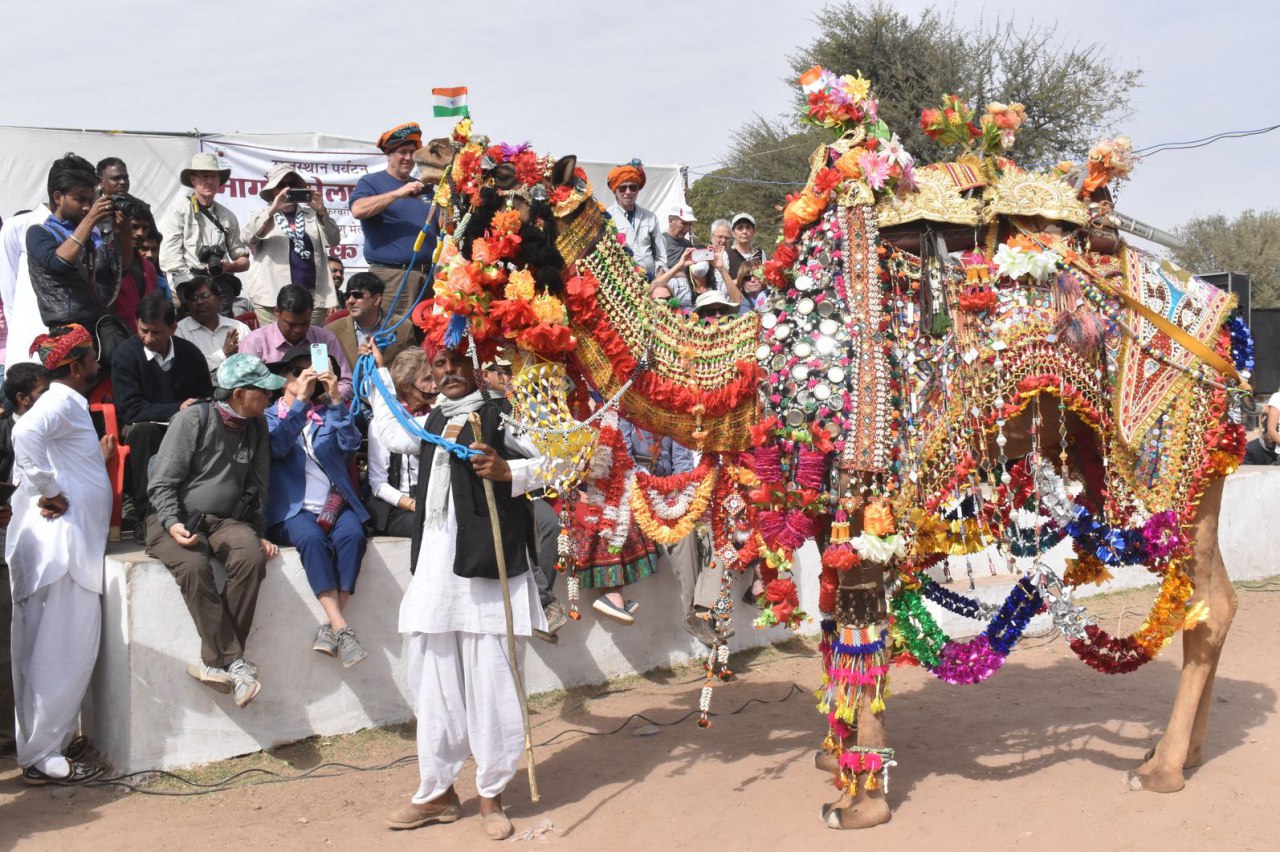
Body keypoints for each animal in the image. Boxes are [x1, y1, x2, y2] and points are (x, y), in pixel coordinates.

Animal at [384, 72, 1254, 828]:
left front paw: (858, 800)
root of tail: (1224, 318)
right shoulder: (830, 502)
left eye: (505, 189)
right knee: (1212, 600)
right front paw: (836, 760)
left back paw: (1161, 767)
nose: (431, 153)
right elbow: (837, 626)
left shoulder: (863, 486)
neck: (758, 359)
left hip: (1168, 457)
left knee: (1208, 600)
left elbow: (859, 626)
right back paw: (1184, 751)